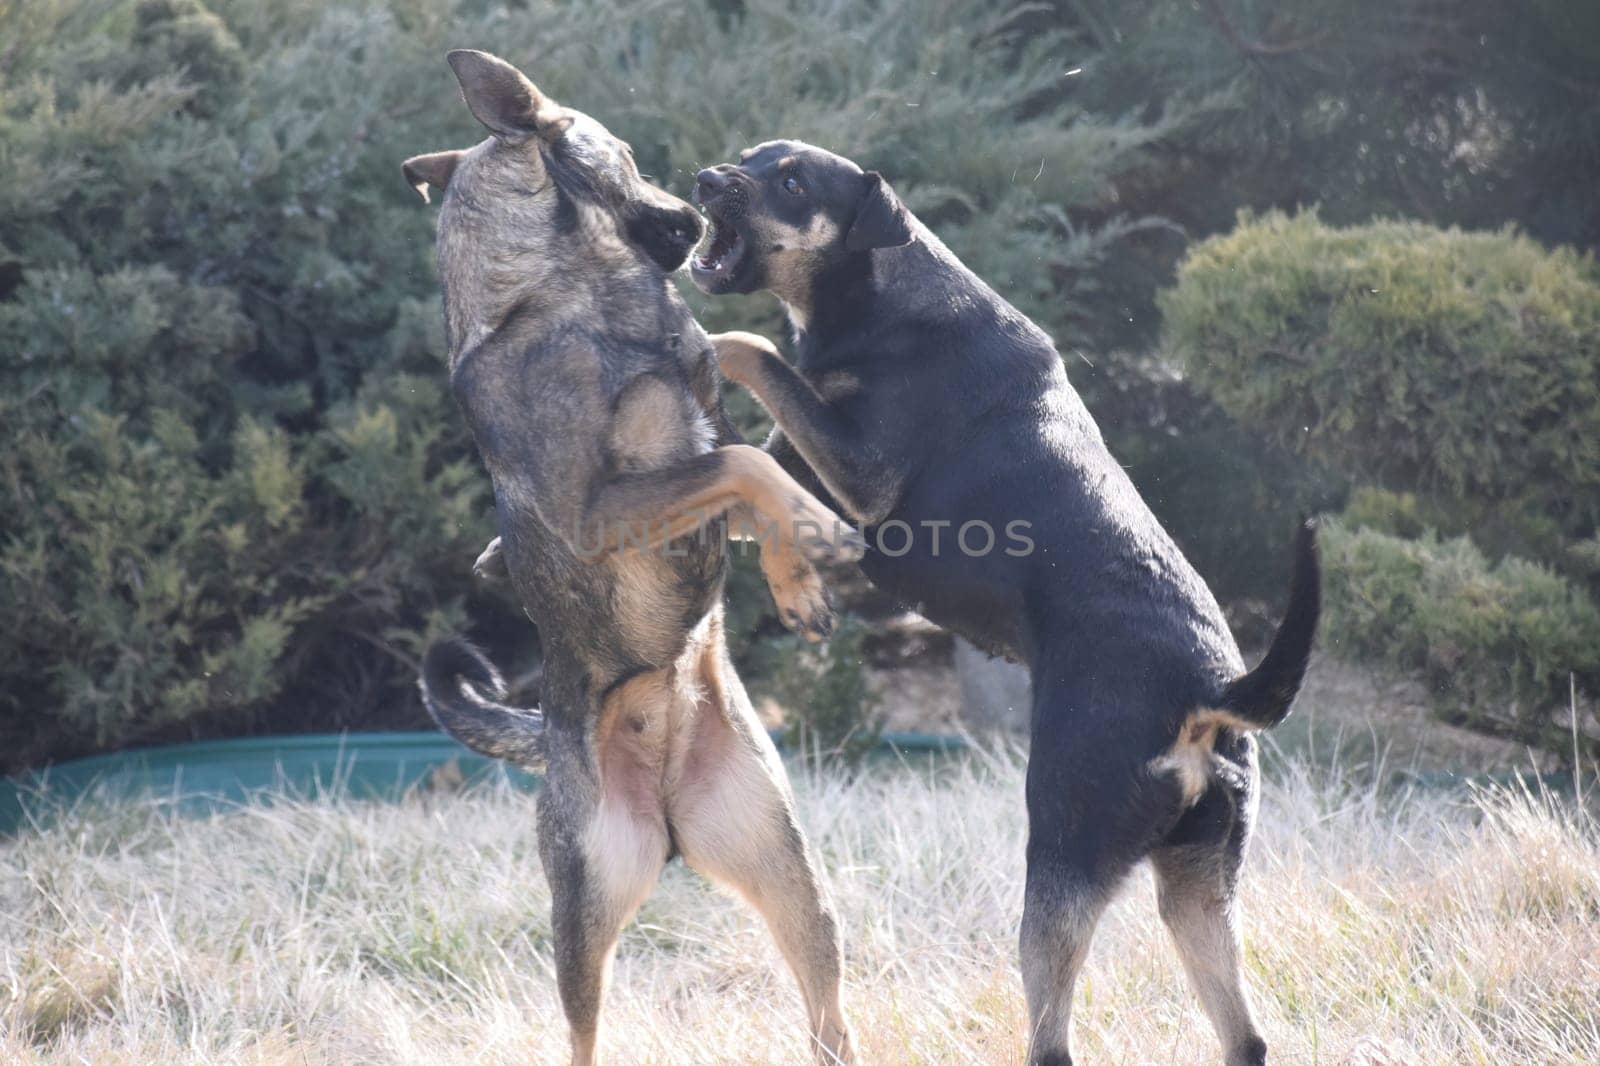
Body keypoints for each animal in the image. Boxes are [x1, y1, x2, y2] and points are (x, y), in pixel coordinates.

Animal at [412, 52, 864, 1062]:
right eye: (621, 152)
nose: (696, 198)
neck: (554, 295)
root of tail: (664, 817)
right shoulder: (602, 510)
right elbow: (743, 468)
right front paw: (819, 539)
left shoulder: (702, 456)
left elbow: (749, 479)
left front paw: (798, 576)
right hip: (585, 916)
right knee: (582, 1033)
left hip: (791, 882)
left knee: (825, 1013)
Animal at [694, 143, 1318, 1062]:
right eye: (746, 160)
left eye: (793, 182)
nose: (704, 180)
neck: (878, 295)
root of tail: (1210, 694)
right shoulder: (801, 466)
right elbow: (754, 484)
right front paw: (797, 592)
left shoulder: (864, 474)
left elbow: (750, 348)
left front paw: (701, 340)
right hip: (1201, 887)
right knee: (1245, 1038)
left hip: (1062, 846)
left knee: (1053, 1034)